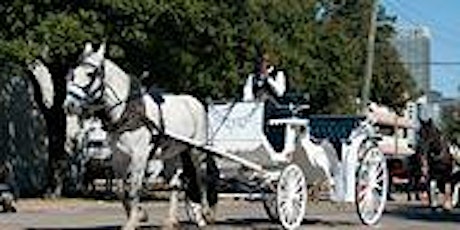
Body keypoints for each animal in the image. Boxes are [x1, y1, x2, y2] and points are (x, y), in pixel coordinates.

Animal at [63, 42, 219, 229]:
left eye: (90, 74)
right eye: (73, 74)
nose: (69, 105)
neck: (127, 111)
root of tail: (195, 102)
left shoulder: (139, 155)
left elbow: (134, 188)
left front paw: (132, 221)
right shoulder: (119, 157)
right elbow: (120, 189)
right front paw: (140, 214)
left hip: (196, 150)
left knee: (201, 178)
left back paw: (205, 215)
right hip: (171, 154)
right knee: (175, 183)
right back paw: (171, 220)